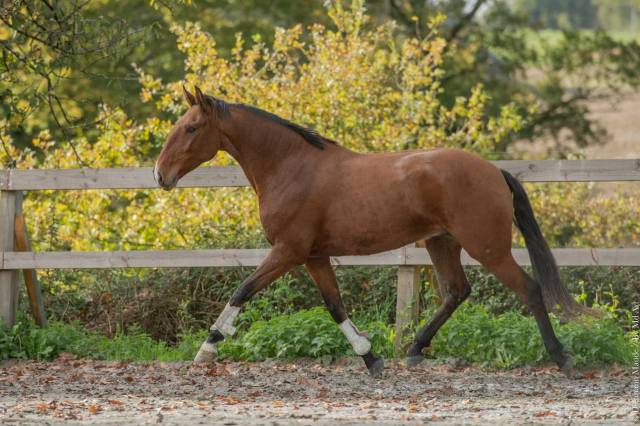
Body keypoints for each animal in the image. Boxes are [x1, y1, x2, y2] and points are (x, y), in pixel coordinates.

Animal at [153, 86, 591, 376]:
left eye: (191, 128)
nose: (160, 175)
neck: (291, 166)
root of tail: (495, 171)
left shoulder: (288, 251)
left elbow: (243, 290)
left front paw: (207, 348)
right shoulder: (313, 255)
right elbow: (335, 306)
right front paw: (370, 356)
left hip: (488, 247)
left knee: (529, 289)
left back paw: (562, 357)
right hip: (441, 242)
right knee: (456, 291)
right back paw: (414, 349)